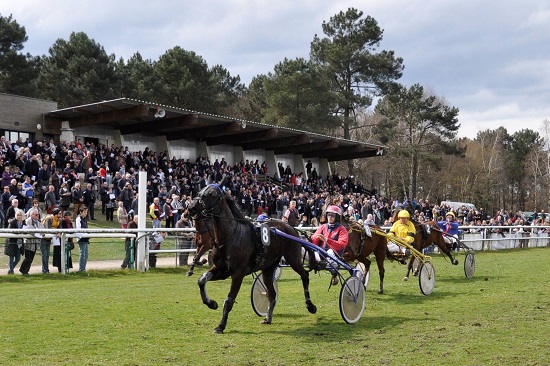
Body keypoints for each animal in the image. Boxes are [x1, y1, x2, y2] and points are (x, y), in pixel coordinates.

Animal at [188, 184, 316, 334]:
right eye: (200, 190)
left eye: (212, 194)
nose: (191, 207)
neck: (228, 237)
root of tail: (290, 227)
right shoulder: (222, 270)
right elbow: (201, 280)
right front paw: (211, 303)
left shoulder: (238, 274)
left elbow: (229, 300)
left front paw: (221, 326)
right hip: (268, 268)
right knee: (272, 294)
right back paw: (268, 318)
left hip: (293, 258)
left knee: (305, 275)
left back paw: (310, 306)